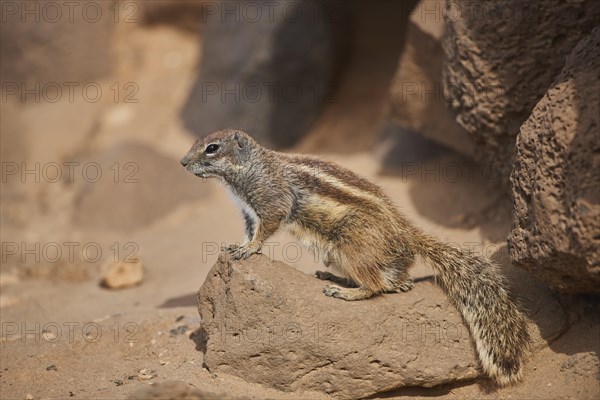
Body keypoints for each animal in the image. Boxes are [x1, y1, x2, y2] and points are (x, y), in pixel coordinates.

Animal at [182, 128, 528, 384]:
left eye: (211, 148)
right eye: (198, 142)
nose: (183, 163)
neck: (249, 170)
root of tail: (405, 232)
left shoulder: (271, 201)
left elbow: (265, 230)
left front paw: (248, 249)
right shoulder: (247, 212)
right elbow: (250, 230)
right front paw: (236, 245)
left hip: (352, 247)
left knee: (375, 286)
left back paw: (345, 291)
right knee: (391, 280)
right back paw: (355, 279)